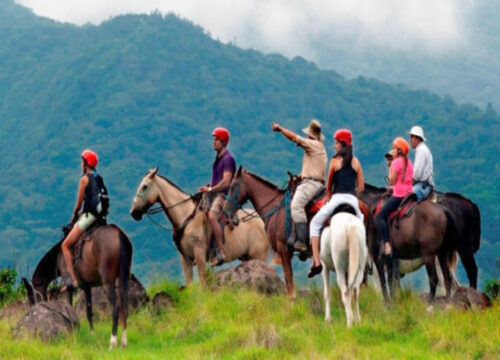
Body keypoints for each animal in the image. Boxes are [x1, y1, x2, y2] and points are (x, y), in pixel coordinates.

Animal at [129, 167, 270, 286]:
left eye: (145, 186)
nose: (133, 212)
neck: (186, 216)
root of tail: (262, 221)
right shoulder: (185, 258)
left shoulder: (200, 254)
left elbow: (202, 283)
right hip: (247, 258)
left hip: (259, 256)